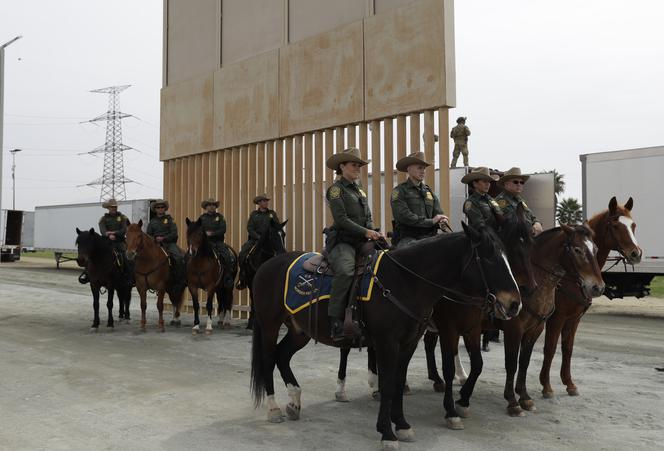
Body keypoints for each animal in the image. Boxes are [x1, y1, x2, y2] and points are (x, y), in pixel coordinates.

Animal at [540, 198, 644, 400]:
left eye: (633, 225)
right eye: (616, 225)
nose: (636, 254)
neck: (571, 276)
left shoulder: (574, 318)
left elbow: (568, 348)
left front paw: (569, 383)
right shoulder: (557, 318)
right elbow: (550, 348)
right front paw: (546, 386)